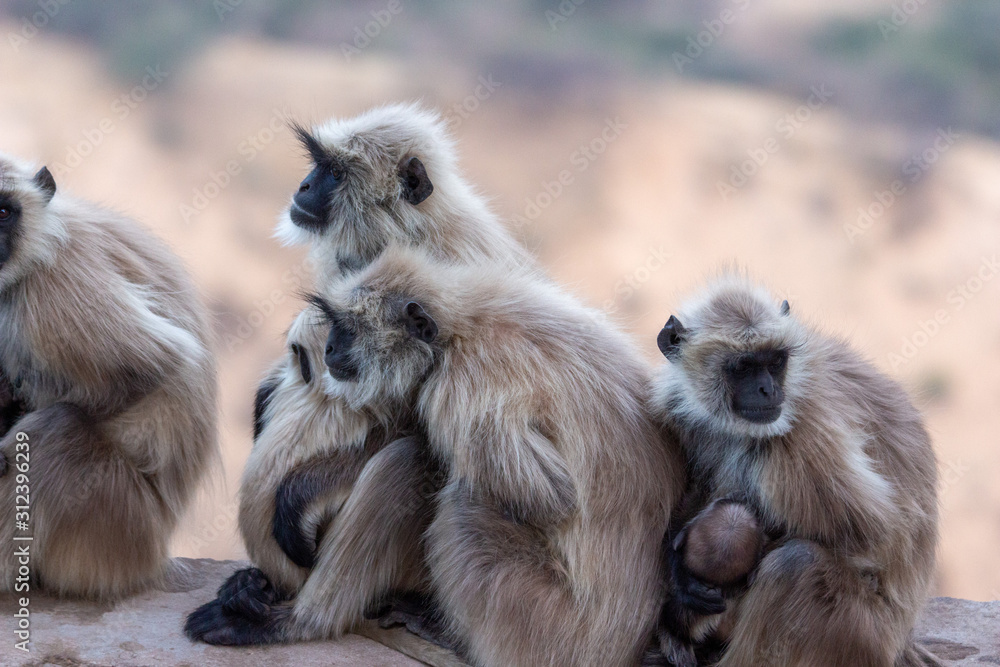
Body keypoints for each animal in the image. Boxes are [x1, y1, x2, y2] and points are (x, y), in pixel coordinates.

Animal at [0, 154, 217, 599]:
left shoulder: (58, 286)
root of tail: (156, 556)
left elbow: (157, 364)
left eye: (3, 212)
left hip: (115, 522)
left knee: (59, 427)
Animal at [222, 247, 685, 665]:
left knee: (445, 487)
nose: (330, 350)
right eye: (334, 329)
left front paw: (307, 488)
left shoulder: (462, 386)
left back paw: (307, 622)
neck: (460, 326)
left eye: (347, 330)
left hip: (543, 628)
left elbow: (550, 498)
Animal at [646, 276, 940, 667]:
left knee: (795, 563)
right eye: (743, 367)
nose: (767, 389)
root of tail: (901, 638)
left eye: (775, 362)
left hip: (865, 634)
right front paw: (678, 574)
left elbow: (875, 535)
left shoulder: (800, 435)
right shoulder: (679, 407)